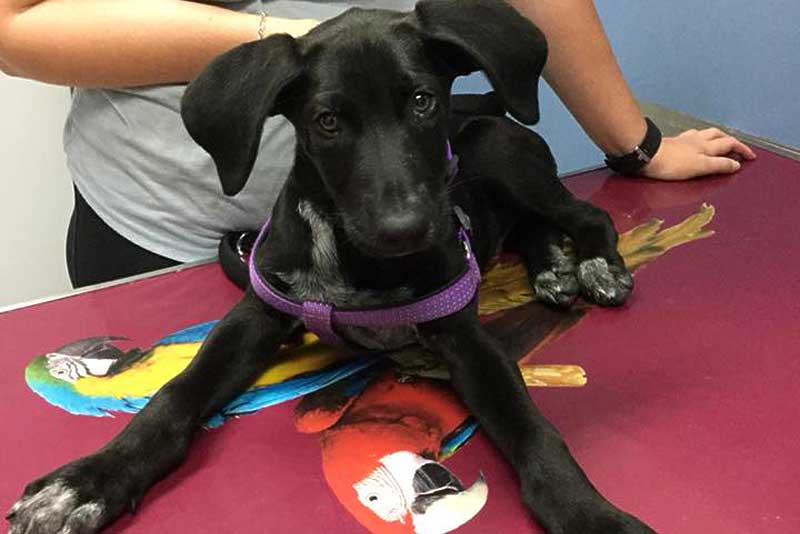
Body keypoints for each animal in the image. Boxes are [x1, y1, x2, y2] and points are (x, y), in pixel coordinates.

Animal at [7, 2, 648, 532]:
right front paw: (88, 481)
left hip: (497, 151)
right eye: (328, 122)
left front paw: (590, 515)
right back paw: (553, 270)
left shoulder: (461, 331)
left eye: (422, 101)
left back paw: (595, 266)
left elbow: (531, 427)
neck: (356, 264)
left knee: (583, 212)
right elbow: (175, 393)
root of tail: (484, 102)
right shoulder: (257, 314)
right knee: (531, 226)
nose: (406, 230)